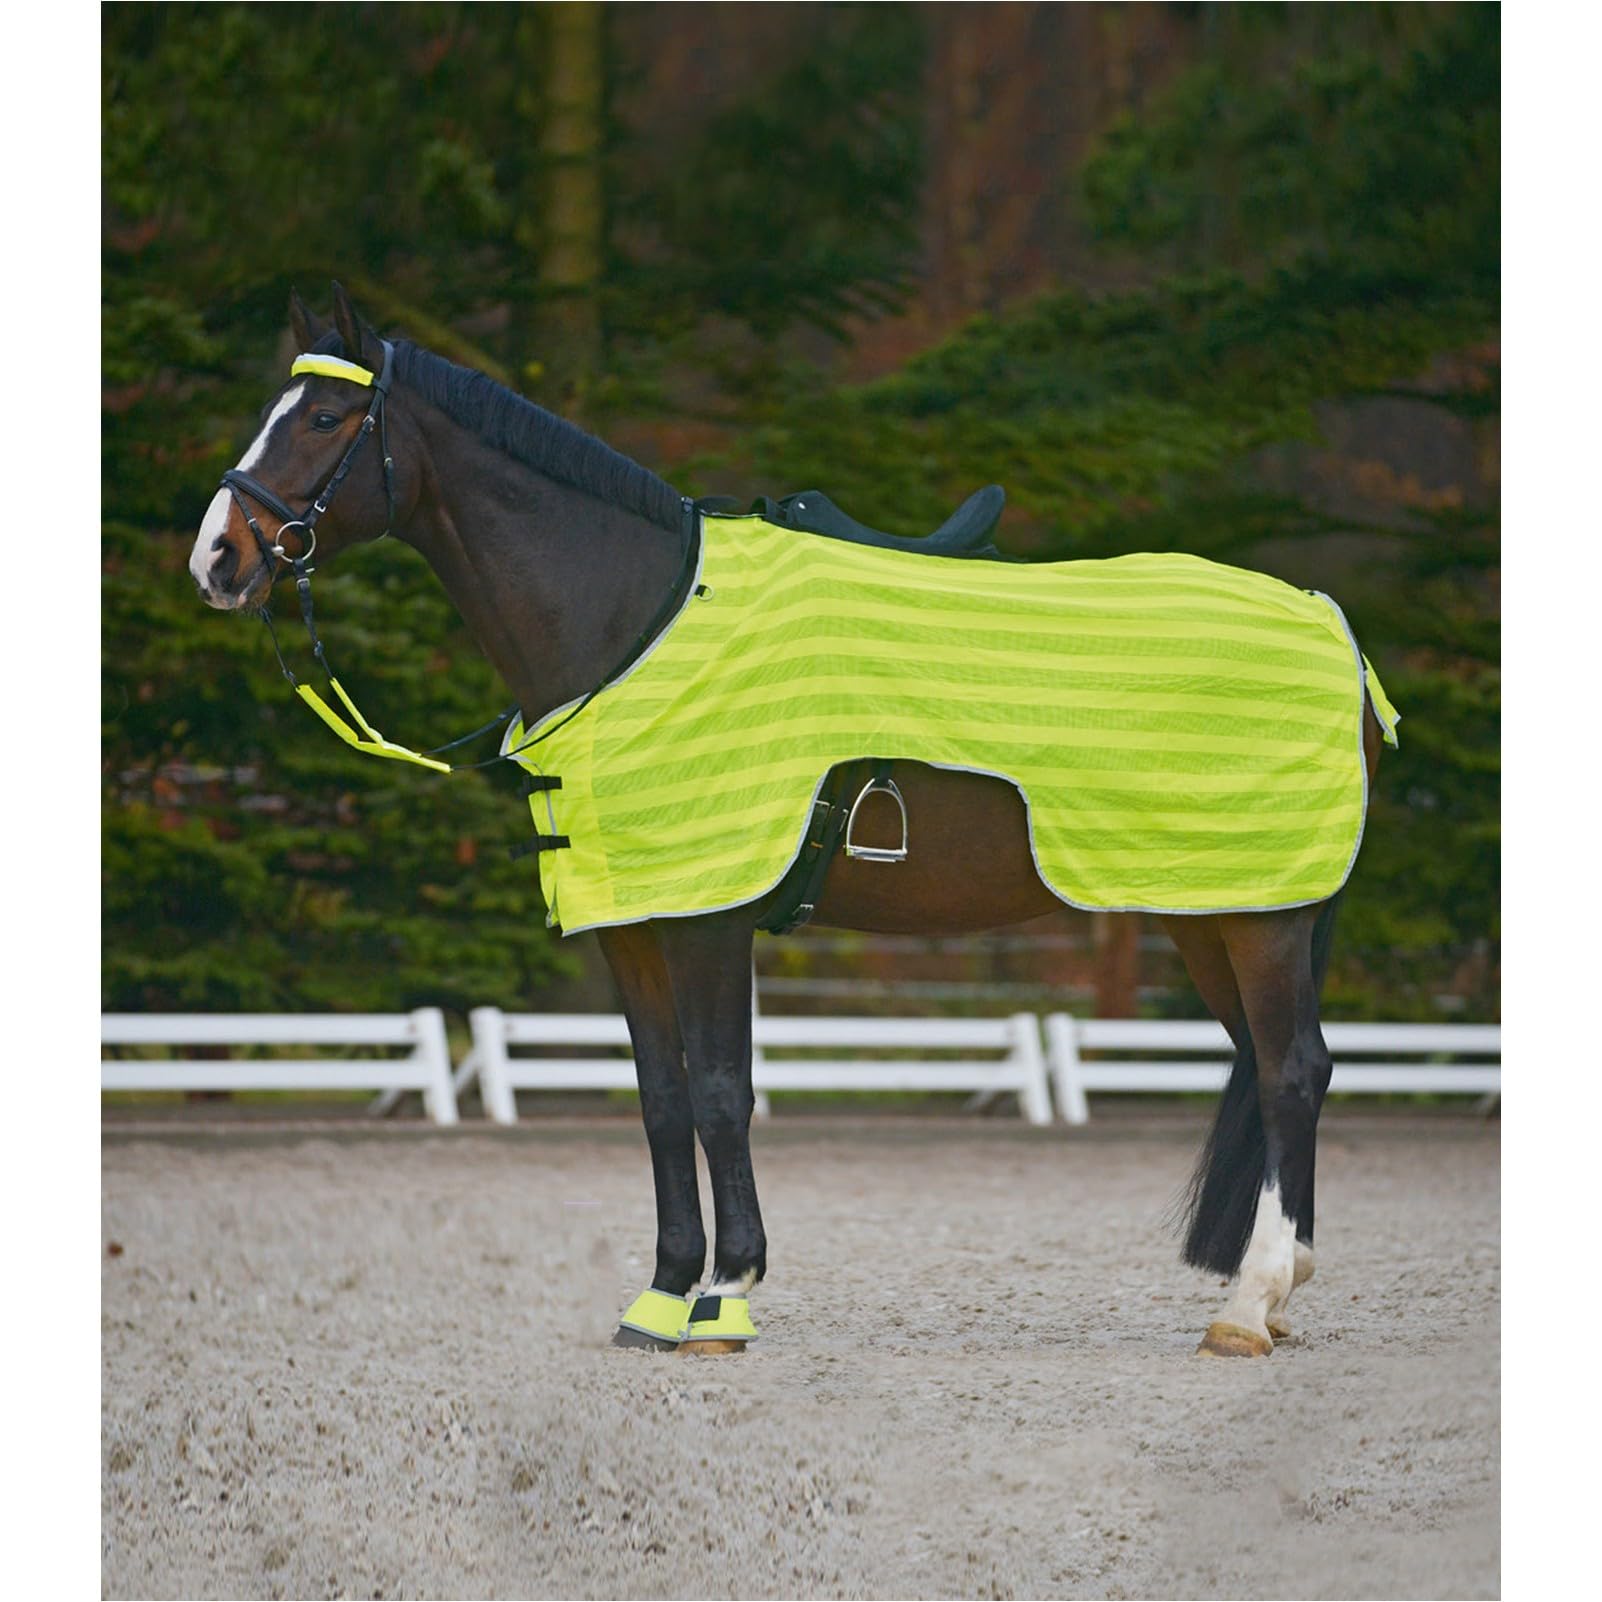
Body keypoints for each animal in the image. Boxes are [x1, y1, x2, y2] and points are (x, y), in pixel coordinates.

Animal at [189, 283, 1395, 1358]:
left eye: (327, 418)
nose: (218, 558)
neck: (637, 619)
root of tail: (1333, 627)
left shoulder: (711, 916)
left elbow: (724, 1094)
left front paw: (727, 1297)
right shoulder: (633, 922)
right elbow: (662, 1099)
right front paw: (662, 1296)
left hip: (1261, 915)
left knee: (1292, 1070)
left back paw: (1248, 1306)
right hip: (1212, 908)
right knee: (1276, 1064)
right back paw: (1279, 1290)